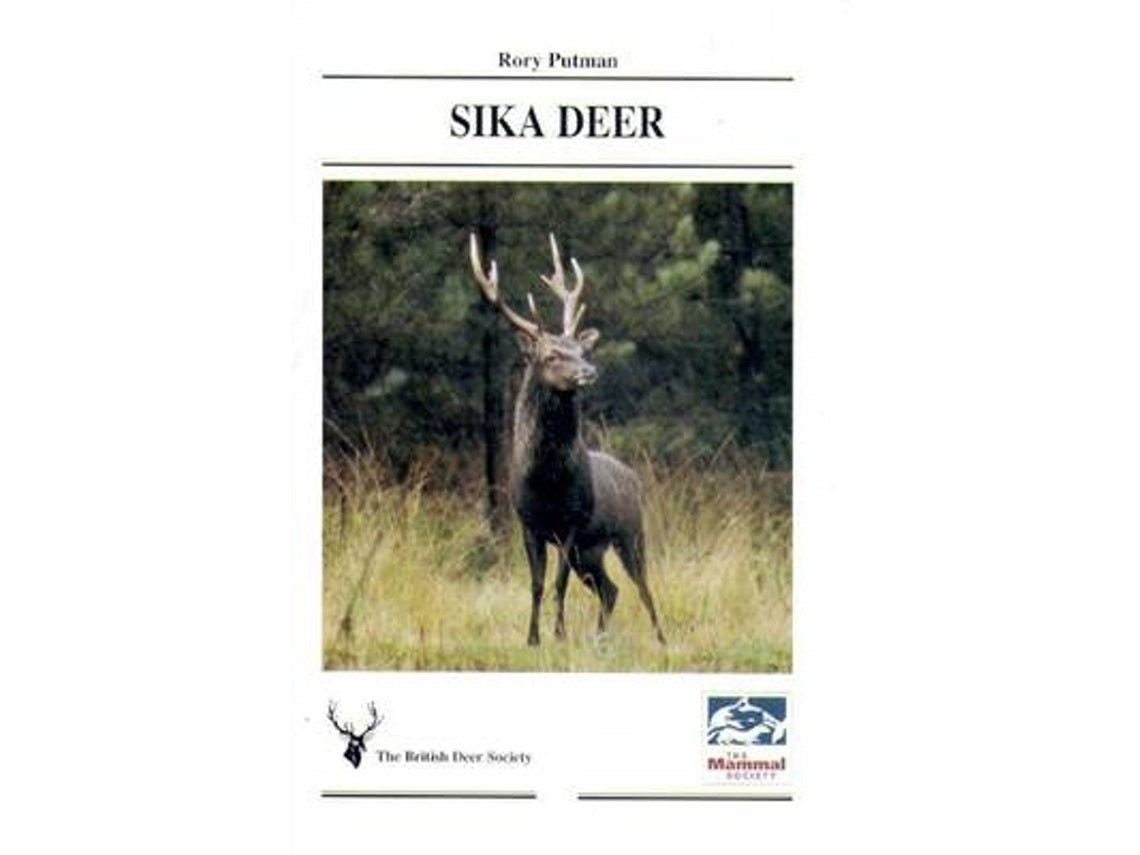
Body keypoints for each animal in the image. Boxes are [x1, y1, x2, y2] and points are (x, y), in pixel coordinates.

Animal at [469, 232, 666, 647]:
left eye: (581, 349)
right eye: (551, 355)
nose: (588, 370)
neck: (547, 480)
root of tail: (632, 476)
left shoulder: (571, 523)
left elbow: (558, 584)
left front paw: (558, 635)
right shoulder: (528, 524)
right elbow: (537, 585)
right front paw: (532, 638)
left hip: (630, 532)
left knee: (642, 587)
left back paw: (661, 639)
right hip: (590, 551)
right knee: (610, 589)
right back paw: (600, 637)